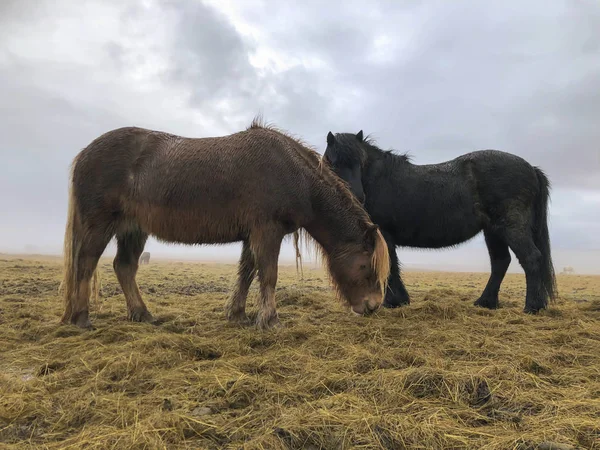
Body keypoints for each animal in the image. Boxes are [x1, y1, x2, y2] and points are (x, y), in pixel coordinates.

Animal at [59, 119, 390, 330]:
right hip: (100, 223)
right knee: (86, 263)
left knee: (124, 267)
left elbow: (246, 273)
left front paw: (238, 315)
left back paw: (142, 314)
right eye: (365, 265)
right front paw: (270, 320)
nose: (373, 306)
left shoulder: (251, 235)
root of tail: (84, 155)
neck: (294, 175)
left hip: (133, 229)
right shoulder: (267, 231)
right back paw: (81, 318)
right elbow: (268, 275)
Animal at [324, 130, 556, 312]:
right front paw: (399, 300)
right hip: (493, 231)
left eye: (360, 161)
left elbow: (388, 266)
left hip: (510, 227)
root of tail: (531, 168)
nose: (355, 196)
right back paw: (485, 302)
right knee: (500, 262)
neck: (377, 180)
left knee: (531, 258)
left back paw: (532, 307)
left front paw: (393, 302)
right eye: (333, 163)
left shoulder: (383, 235)